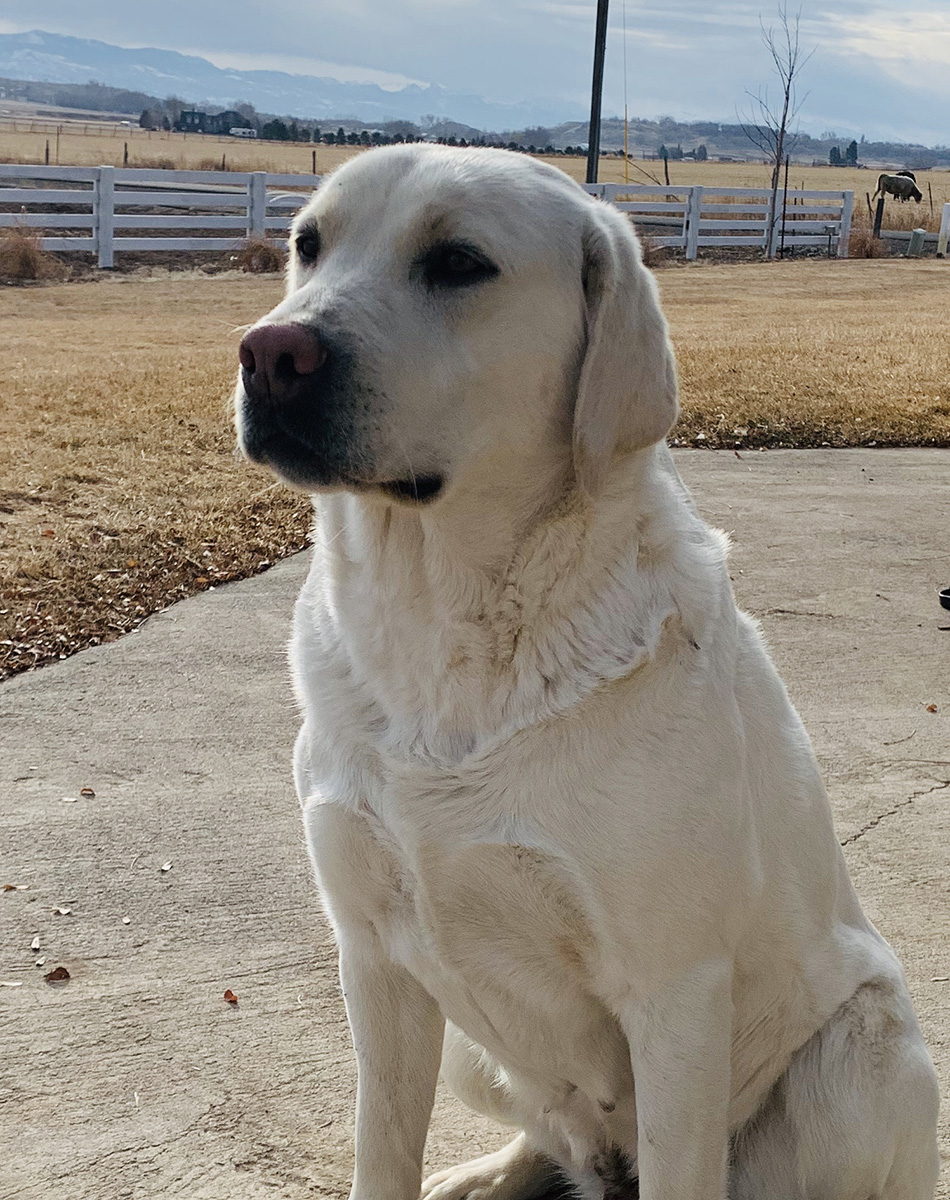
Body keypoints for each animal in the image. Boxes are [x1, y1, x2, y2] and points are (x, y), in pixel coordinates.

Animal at [233, 147, 940, 1200]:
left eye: (459, 263)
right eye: (306, 244)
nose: (270, 354)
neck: (443, 623)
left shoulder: (676, 989)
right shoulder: (374, 962)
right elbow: (382, 1155)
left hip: (866, 1053)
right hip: (471, 1053)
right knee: (554, 1135)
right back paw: (484, 1176)